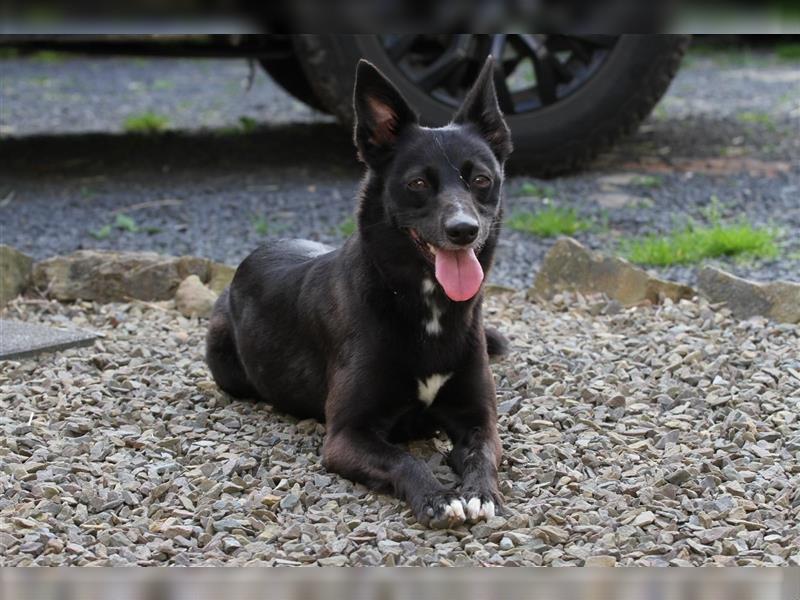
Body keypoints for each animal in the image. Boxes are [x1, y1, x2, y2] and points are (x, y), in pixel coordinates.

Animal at [208, 55, 512, 524]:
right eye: (418, 183)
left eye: (480, 180)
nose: (463, 230)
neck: (423, 307)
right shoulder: (346, 436)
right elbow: (404, 459)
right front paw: (438, 496)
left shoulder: (479, 420)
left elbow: (482, 454)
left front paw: (479, 492)